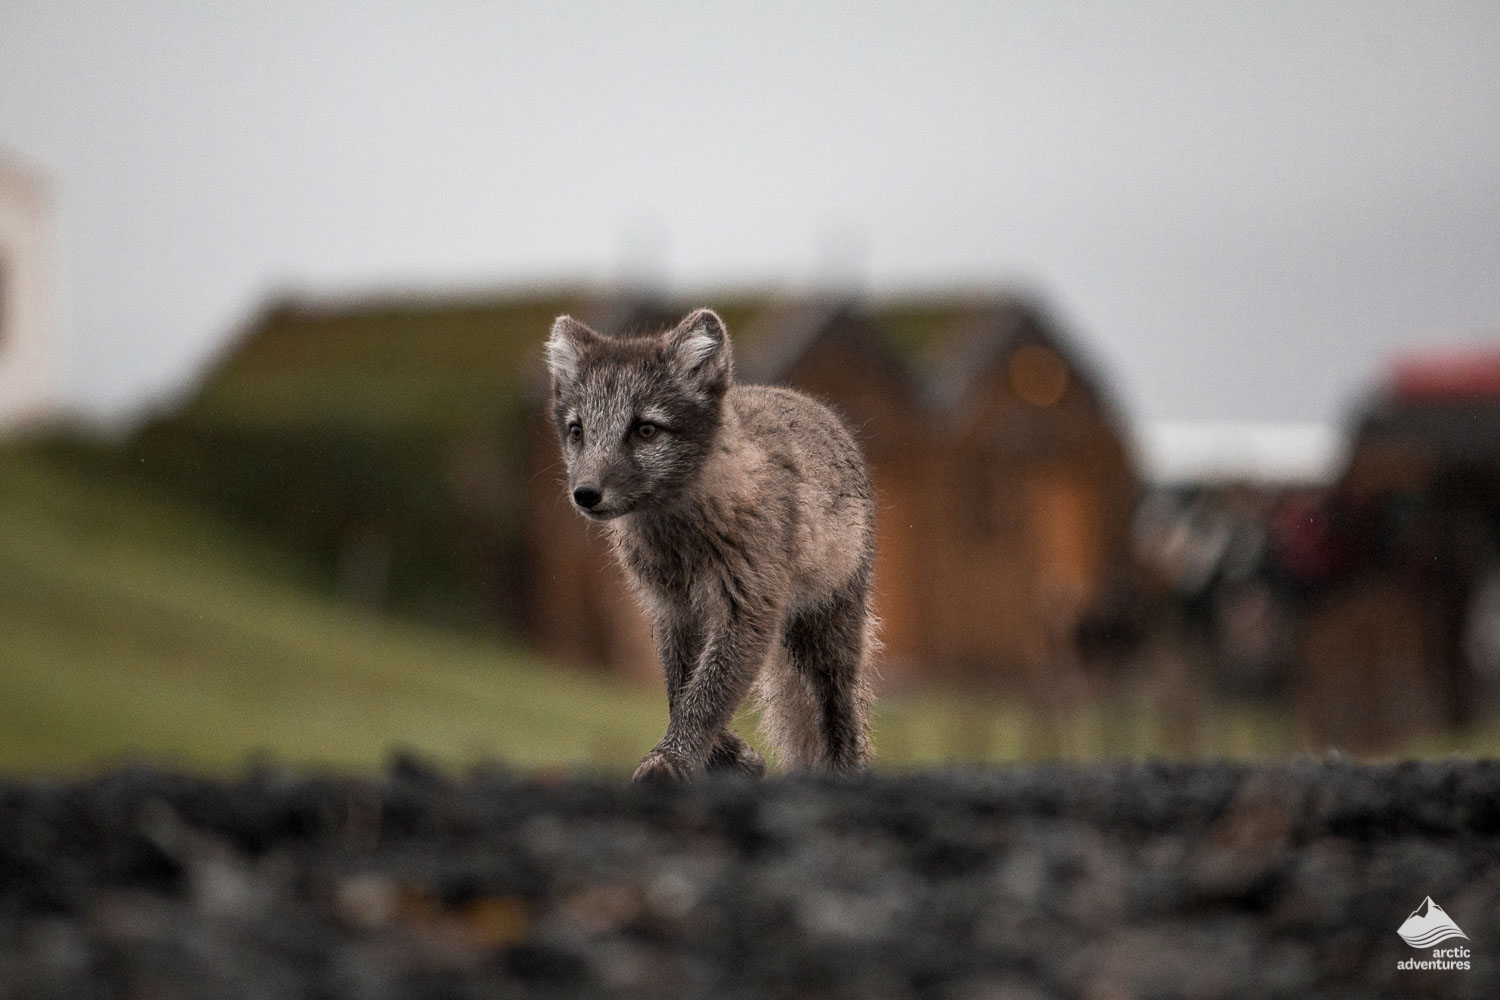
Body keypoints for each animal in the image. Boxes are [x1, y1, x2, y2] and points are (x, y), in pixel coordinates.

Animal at [544, 307, 876, 782]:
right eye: (577, 432)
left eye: (645, 430)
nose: (585, 494)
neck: (681, 545)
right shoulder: (671, 609)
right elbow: (680, 687)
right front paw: (734, 757)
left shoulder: (747, 608)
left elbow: (707, 695)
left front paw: (670, 761)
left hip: (829, 635)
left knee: (843, 719)